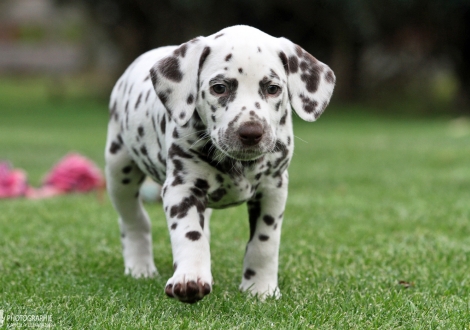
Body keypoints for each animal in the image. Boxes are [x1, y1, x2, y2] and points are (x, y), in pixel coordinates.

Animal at [105, 25, 336, 302]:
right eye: (219, 88)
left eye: (272, 88)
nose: (251, 132)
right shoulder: (182, 188)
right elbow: (189, 234)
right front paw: (190, 277)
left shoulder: (273, 189)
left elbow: (264, 242)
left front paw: (261, 288)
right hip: (120, 170)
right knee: (133, 219)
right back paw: (139, 266)